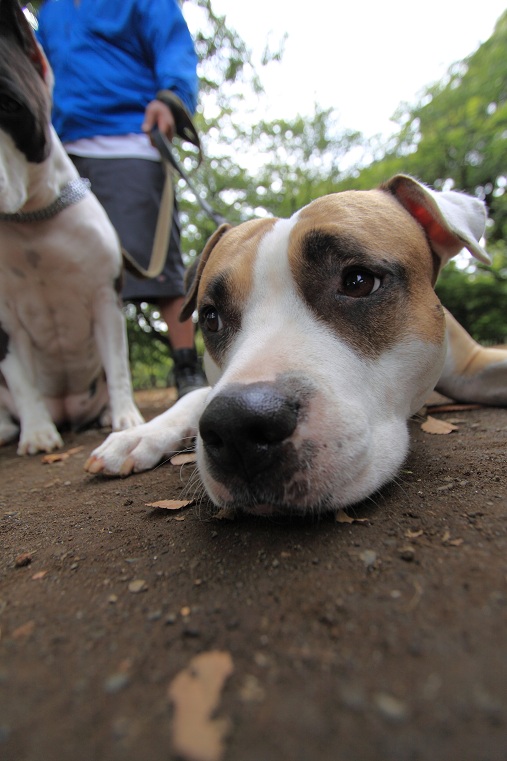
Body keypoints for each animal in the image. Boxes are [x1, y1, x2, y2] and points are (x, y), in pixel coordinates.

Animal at [0, 0, 143, 455]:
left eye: (8, 105)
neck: (30, 219)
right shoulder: (4, 323)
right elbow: (22, 382)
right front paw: (36, 433)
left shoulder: (104, 299)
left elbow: (118, 367)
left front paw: (126, 418)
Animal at [85, 176, 507, 516]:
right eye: (210, 317)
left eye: (358, 281)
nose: (238, 426)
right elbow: (195, 396)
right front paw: (140, 434)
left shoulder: (472, 366)